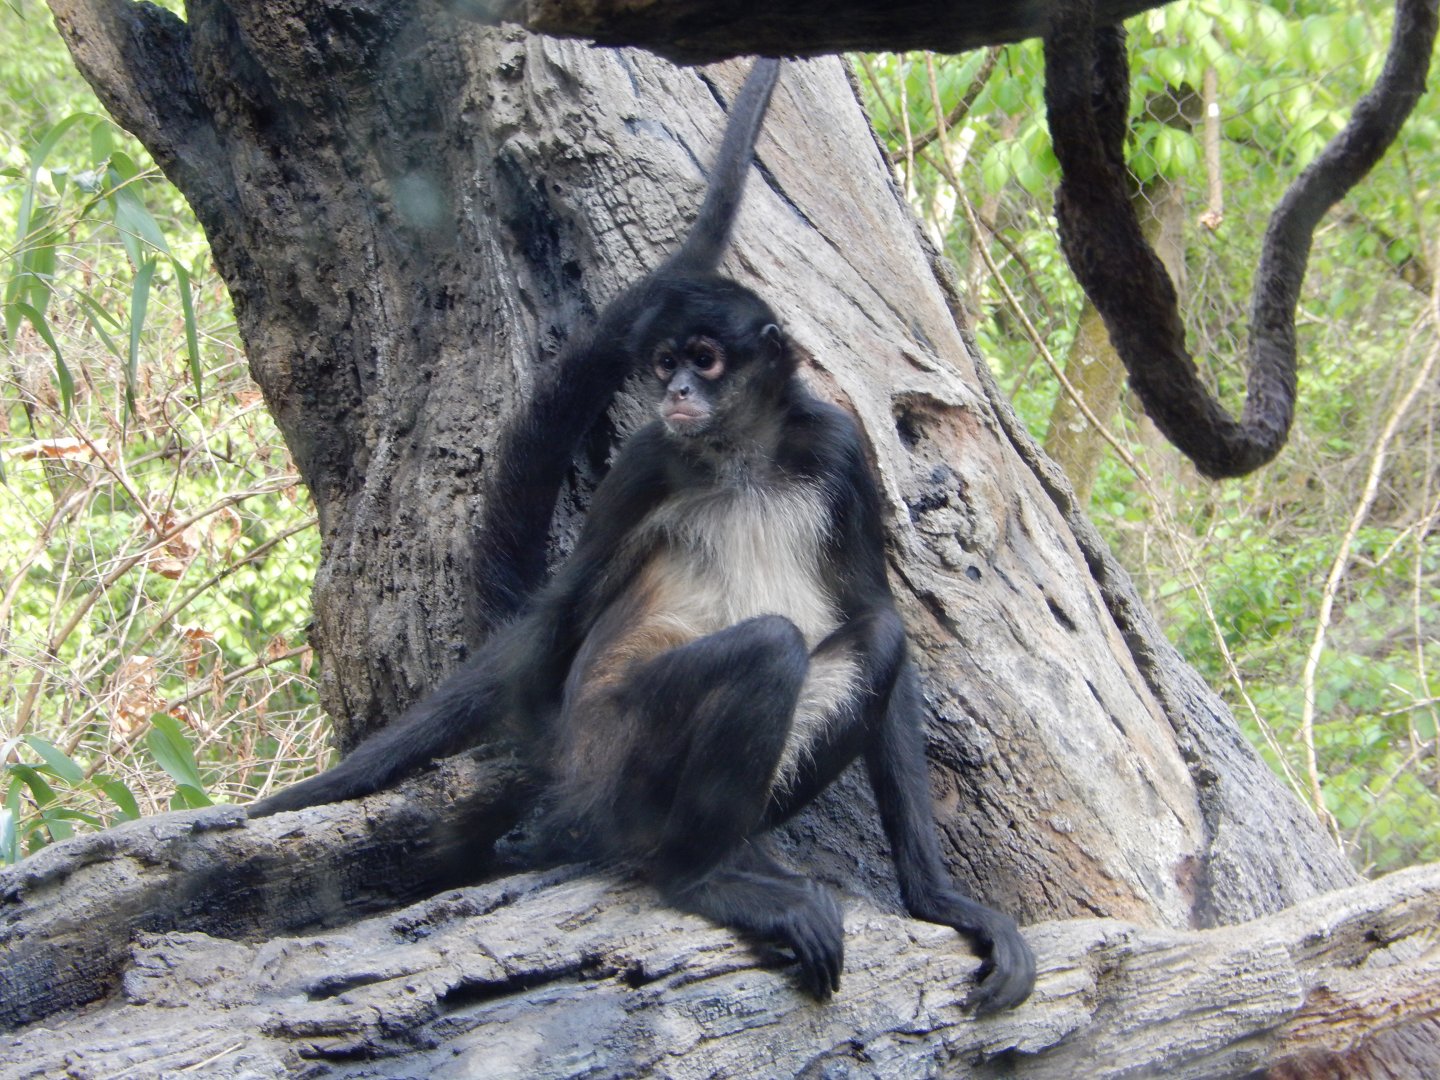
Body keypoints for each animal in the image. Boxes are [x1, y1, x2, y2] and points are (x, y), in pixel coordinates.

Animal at [253, 59, 1036, 1013]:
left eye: (705, 357)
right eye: (664, 363)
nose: (678, 393)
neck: (741, 456)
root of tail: (569, 756)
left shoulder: (838, 449)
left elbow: (876, 611)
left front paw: (941, 900)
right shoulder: (648, 460)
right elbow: (557, 613)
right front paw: (305, 797)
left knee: (873, 637)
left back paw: (737, 856)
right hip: (615, 755)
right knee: (766, 649)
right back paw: (695, 876)